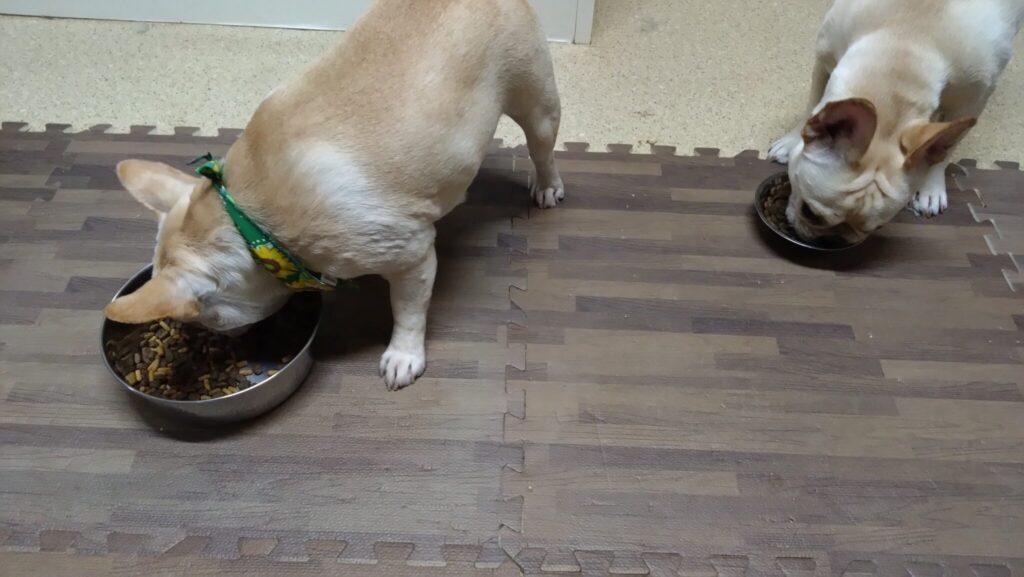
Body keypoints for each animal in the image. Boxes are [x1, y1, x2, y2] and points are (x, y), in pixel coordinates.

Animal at [104, 0, 564, 390]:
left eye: (209, 321)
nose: (230, 340)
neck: (248, 223)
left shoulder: (411, 257)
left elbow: (408, 309)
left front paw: (404, 355)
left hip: (536, 100)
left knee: (542, 147)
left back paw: (546, 186)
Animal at [767, 0, 1024, 243]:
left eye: (876, 228)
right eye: (809, 212)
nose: (833, 239)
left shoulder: (974, 99)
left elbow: (946, 148)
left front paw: (931, 187)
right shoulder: (824, 59)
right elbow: (812, 103)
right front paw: (791, 143)